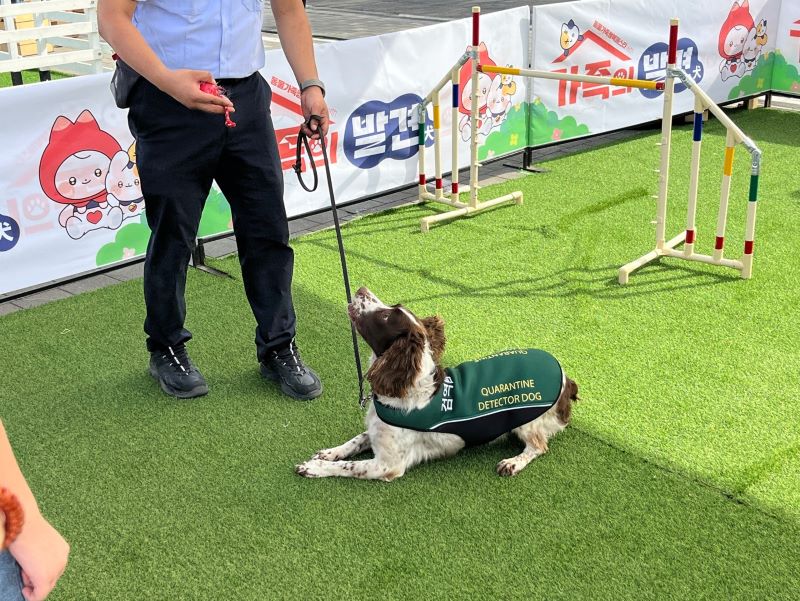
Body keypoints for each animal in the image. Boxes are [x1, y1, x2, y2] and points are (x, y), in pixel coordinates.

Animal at [296, 288, 580, 480]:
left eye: (386, 316)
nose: (361, 289)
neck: (406, 389)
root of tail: (566, 379)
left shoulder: (387, 464)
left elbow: (349, 466)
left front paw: (314, 467)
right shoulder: (377, 432)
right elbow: (355, 440)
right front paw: (328, 453)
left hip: (527, 421)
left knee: (538, 446)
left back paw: (512, 462)